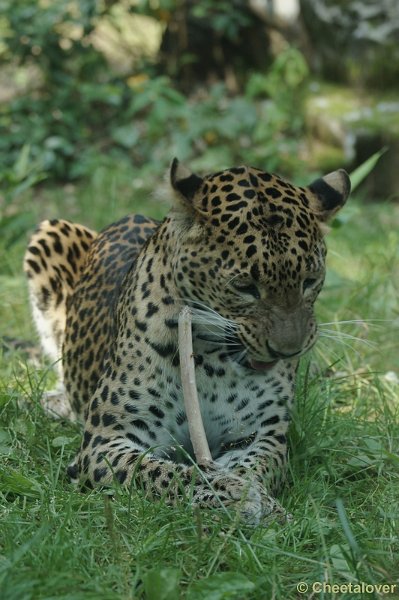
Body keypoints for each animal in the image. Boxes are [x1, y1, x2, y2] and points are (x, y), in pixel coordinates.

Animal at [23, 161, 352, 524]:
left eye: (310, 281)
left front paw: (258, 499)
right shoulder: (106, 441)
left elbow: (252, 467)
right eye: (244, 287)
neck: (214, 360)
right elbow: (164, 472)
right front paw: (230, 494)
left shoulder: (259, 435)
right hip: (49, 232)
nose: (288, 351)